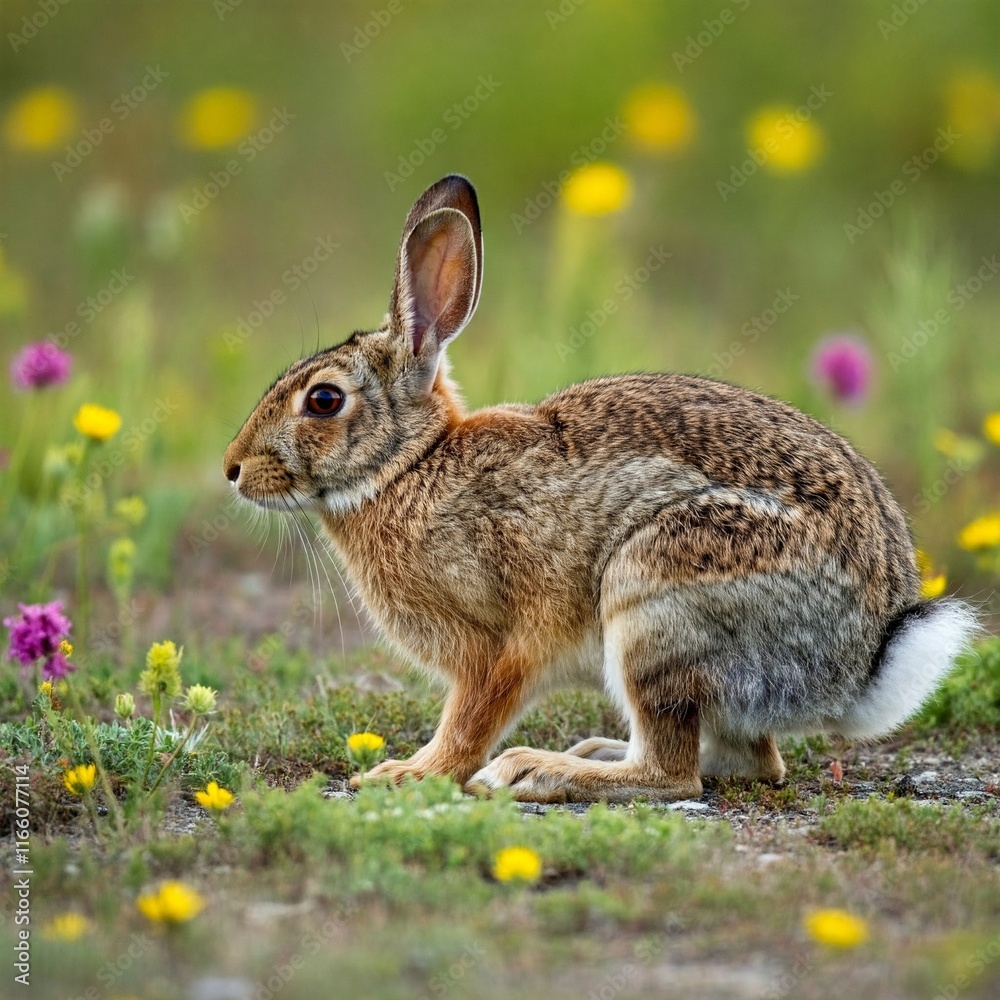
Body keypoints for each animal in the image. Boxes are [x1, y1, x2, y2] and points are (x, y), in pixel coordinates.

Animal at [223, 174, 978, 803]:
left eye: (324, 400)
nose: (232, 468)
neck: (409, 465)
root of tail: (861, 662)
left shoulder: (496, 645)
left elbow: (470, 721)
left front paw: (407, 774)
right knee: (746, 761)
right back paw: (585, 751)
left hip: (655, 597)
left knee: (675, 774)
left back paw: (538, 770)